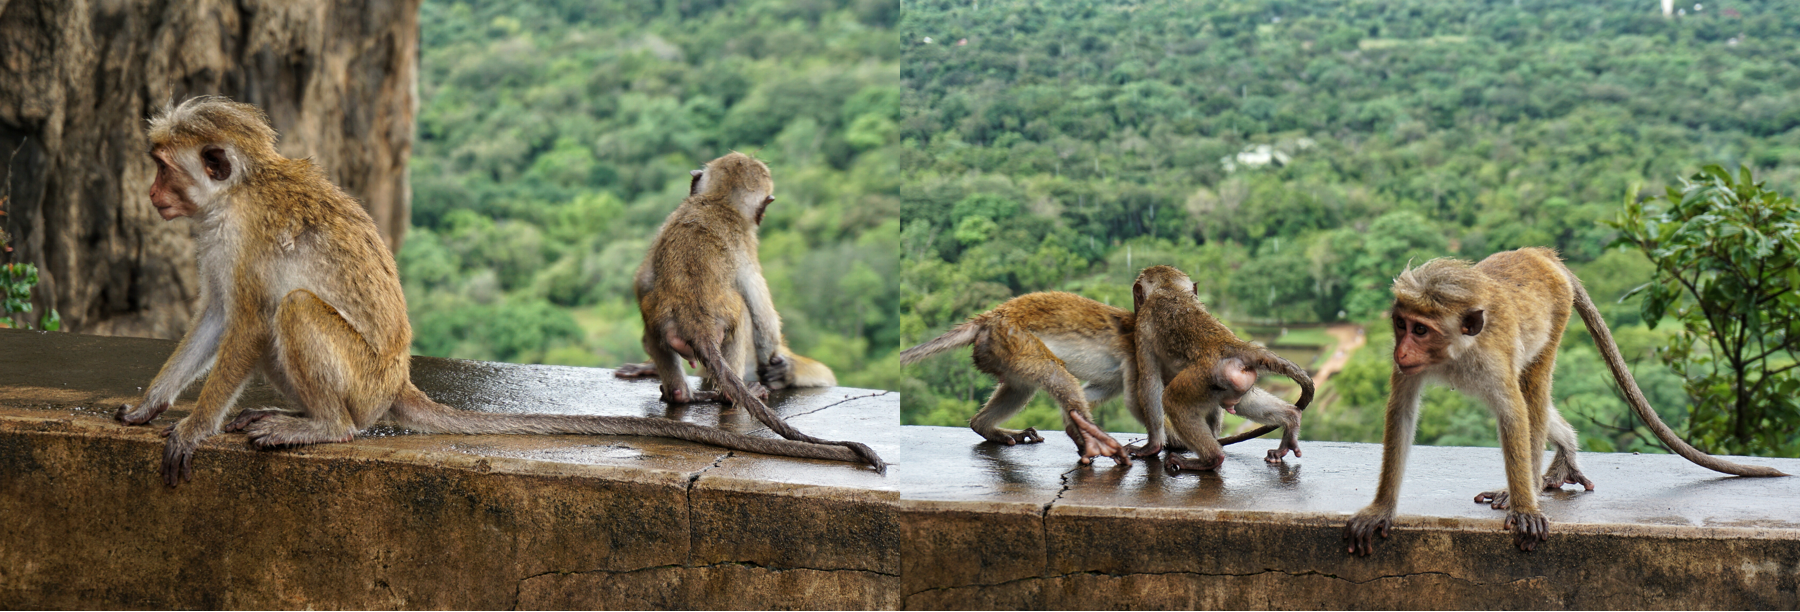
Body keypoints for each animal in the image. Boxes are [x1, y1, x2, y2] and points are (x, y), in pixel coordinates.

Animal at [637, 150, 882, 471]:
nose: (762, 216)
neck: (718, 201)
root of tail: (696, 324)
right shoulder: (746, 241)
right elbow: (761, 316)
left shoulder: (669, 220)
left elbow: (642, 281)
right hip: (719, 319)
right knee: (742, 316)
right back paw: (731, 396)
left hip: (660, 320)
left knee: (650, 327)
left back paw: (680, 395)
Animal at [1339, 246, 1785, 558]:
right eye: (1401, 325)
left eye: (1420, 329)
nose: (1401, 351)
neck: (1454, 353)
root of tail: (1538, 253)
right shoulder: (1411, 371)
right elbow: (1401, 413)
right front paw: (1380, 509)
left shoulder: (1492, 358)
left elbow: (1513, 413)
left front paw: (1524, 508)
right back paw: (1564, 452)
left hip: (1558, 312)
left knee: (1533, 390)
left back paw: (1531, 484)